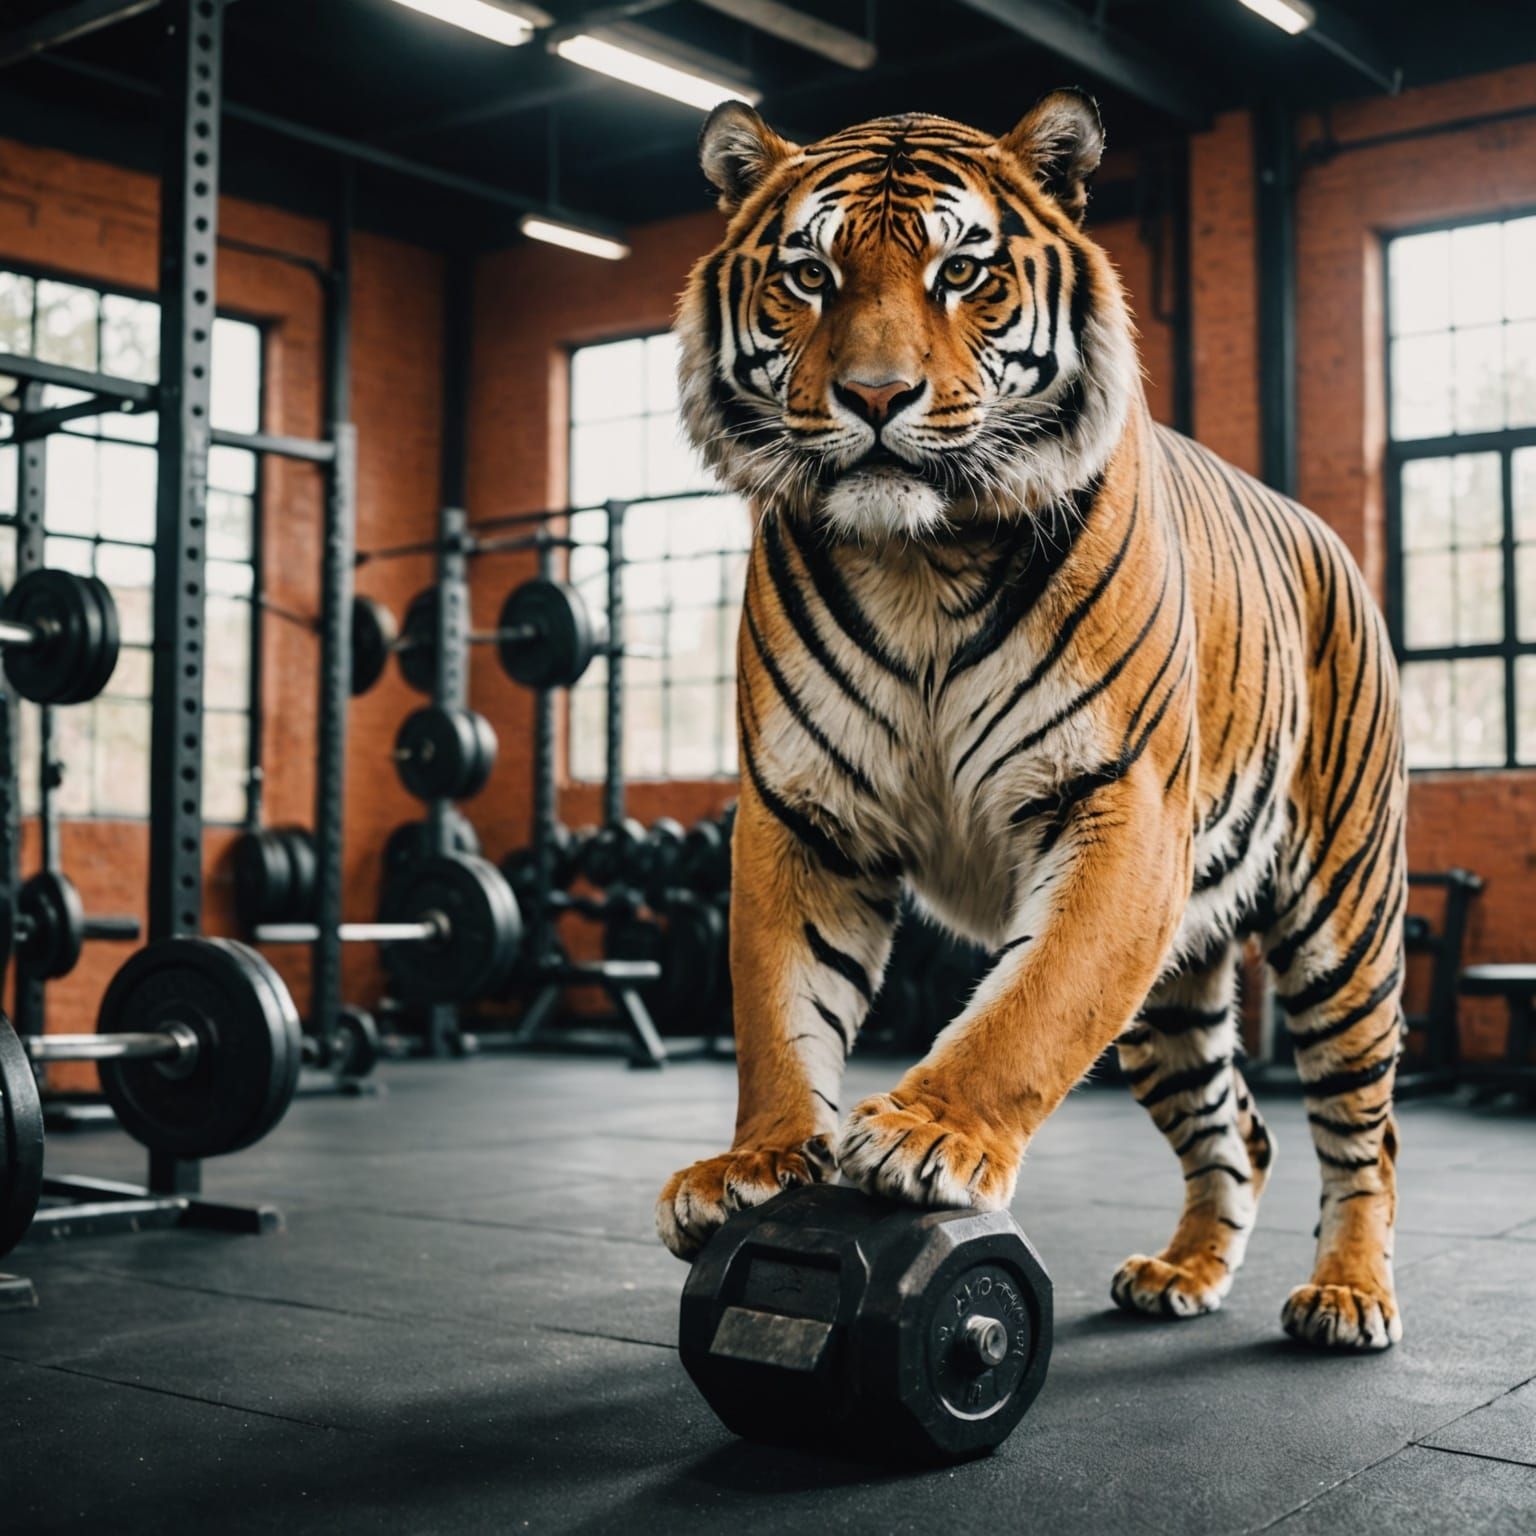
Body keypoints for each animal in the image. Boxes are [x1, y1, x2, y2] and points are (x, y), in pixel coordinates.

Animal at [655, 89, 1407, 1352]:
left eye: (962, 271)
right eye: (809, 275)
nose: (874, 397)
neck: (917, 558)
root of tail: (1328, 537)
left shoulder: (1118, 808)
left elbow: (1031, 1009)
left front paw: (929, 1136)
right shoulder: (803, 815)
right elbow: (778, 1004)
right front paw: (755, 1163)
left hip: (1344, 927)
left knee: (1364, 1132)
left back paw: (1348, 1294)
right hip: (1172, 990)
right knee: (1238, 1127)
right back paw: (1183, 1272)